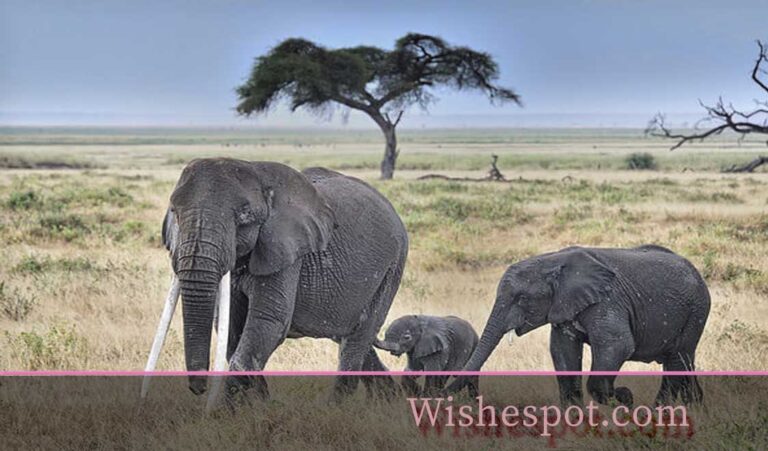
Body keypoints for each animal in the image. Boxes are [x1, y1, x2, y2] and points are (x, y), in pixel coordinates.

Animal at [142, 159, 408, 406]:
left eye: (244, 217)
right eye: (175, 212)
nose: (198, 389)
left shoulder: (287, 250)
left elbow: (268, 321)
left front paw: (225, 415)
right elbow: (230, 329)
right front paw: (261, 406)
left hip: (391, 267)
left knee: (358, 338)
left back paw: (335, 409)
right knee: (349, 336)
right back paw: (388, 402)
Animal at [447, 245, 710, 407]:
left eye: (521, 299)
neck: (552, 261)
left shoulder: (607, 300)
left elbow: (618, 345)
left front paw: (625, 397)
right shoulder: (564, 307)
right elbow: (563, 352)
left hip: (696, 311)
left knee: (676, 360)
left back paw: (656, 414)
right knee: (683, 362)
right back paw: (696, 407)